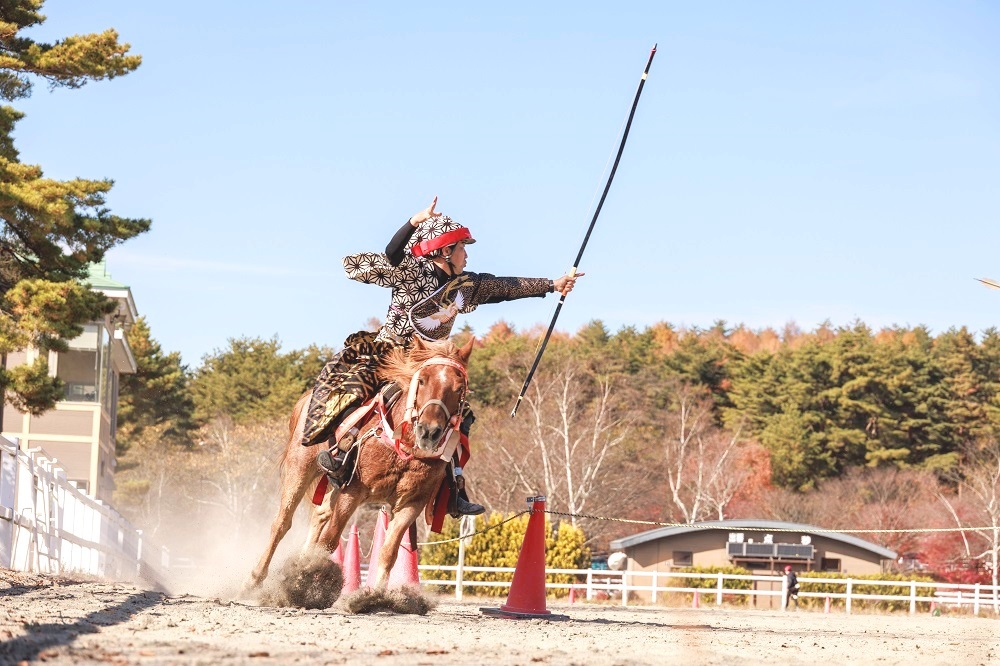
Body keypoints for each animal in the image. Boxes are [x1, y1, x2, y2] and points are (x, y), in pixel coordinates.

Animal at [246, 334, 472, 588]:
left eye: (459, 389)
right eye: (422, 380)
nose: (429, 432)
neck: (402, 447)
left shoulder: (412, 502)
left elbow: (389, 552)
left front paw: (376, 594)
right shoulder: (353, 491)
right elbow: (328, 542)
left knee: (320, 513)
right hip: (301, 467)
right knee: (282, 522)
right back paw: (254, 580)